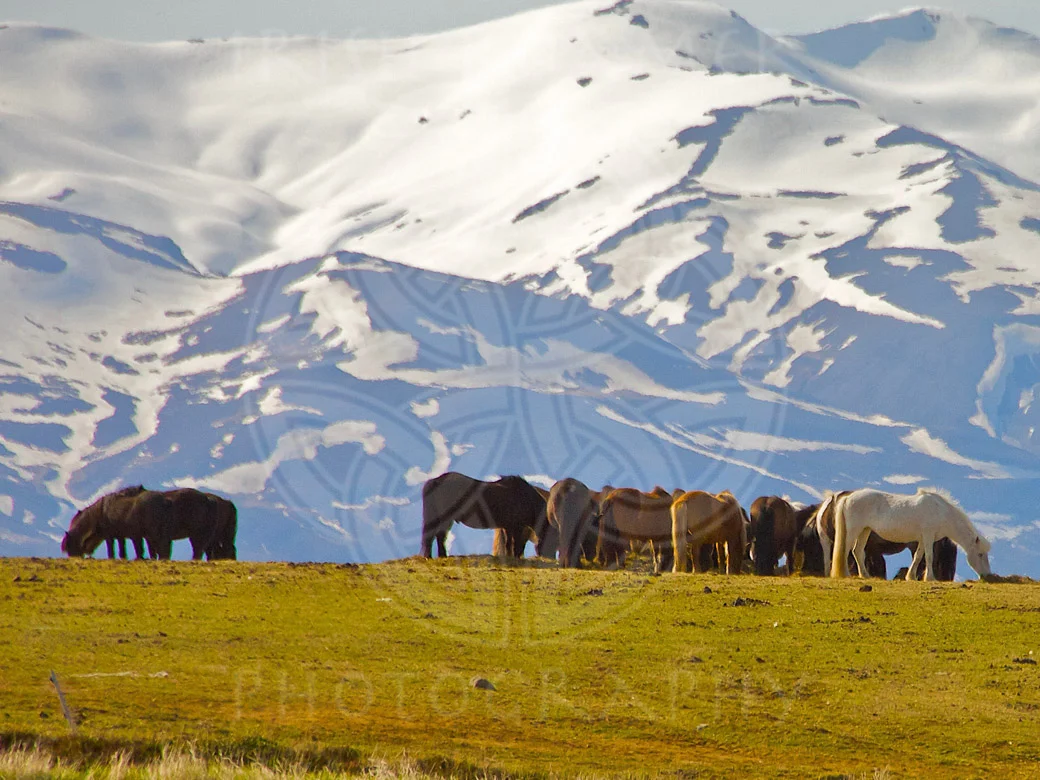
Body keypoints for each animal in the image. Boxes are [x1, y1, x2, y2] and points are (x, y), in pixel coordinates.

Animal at [830, 487, 991, 580]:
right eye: (980, 554)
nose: (987, 576)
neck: (942, 512)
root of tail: (848, 497)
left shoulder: (923, 539)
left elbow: (918, 556)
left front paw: (911, 576)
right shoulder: (928, 536)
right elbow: (929, 556)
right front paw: (930, 578)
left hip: (865, 530)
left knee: (857, 551)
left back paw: (865, 575)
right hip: (854, 530)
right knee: (846, 551)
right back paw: (846, 574)